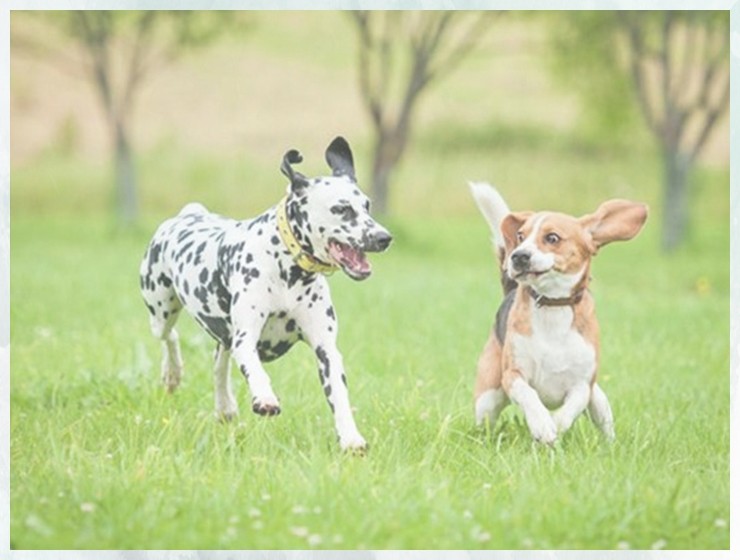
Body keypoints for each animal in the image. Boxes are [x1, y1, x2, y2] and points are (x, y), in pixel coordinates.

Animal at [140, 138, 394, 452]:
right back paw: (172, 374)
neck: (288, 271)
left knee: (219, 362)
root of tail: (188, 214)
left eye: (367, 205)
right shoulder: (246, 337)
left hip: (222, 334)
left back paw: (224, 406)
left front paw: (350, 438)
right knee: (171, 338)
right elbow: (255, 370)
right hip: (161, 312)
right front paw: (265, 398)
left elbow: (340, 397)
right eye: (342, 208)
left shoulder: (326, 349)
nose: (384, 238)